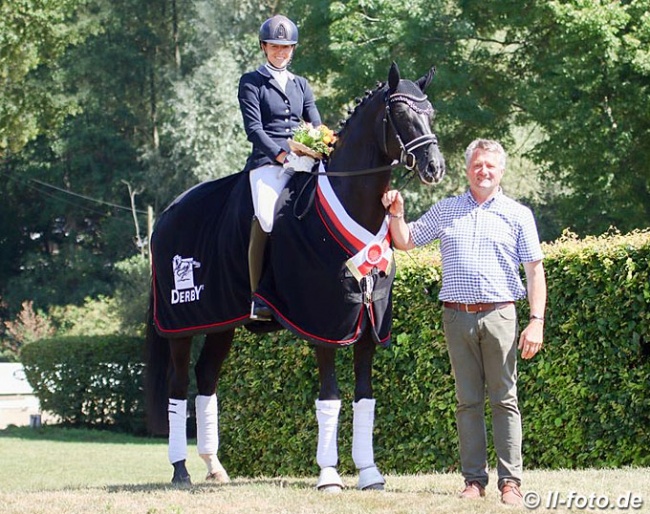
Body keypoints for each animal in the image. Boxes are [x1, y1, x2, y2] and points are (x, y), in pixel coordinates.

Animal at [144, 62, 442, 490]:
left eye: (430, 112)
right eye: (400, 114)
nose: (435, 168)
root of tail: (168, 214)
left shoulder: (370, 321)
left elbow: (365, 396)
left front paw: (369, 473)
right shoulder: (324, 322)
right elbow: (330, 397)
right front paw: (329, 475)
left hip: (222, 321)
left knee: (206, 378)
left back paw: (215, 467)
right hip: (182, 321)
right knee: (178, 386)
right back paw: (181, 470)